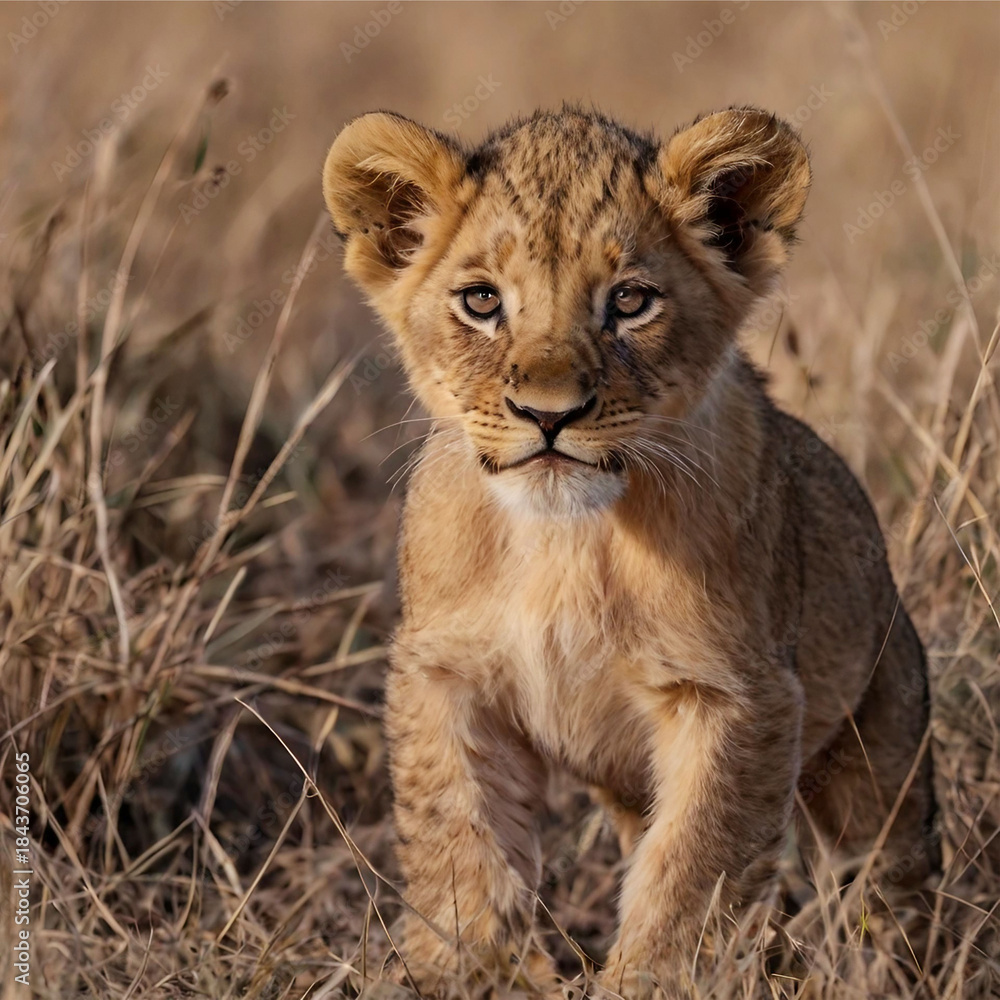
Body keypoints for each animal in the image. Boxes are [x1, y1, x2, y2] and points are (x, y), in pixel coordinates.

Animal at [322, 106, 939, 998]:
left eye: (631, 301)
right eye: (481, 301)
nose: (549, 413)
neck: (565, 541)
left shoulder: (734, 694)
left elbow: (693, 868)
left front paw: (652, 980)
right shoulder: (446, 673)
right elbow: (457, 838)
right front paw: (467, 972)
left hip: (883, 733)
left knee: (889, 870)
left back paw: (893, 964)